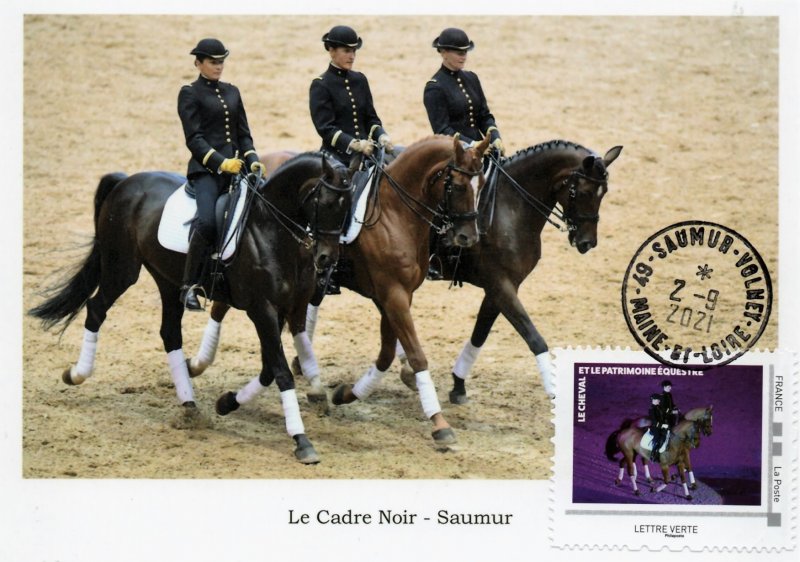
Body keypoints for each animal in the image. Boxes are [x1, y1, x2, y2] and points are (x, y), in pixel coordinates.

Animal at [28, 152, 353, 464]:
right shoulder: (262, 310)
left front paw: (227, 402)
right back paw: (76, 374)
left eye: (348, 207)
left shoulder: (292, 309)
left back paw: (189, 406)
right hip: (122, 268)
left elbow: (269, 370)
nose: (327, 259)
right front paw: (302, 441)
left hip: (168, 281)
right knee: (96, 309)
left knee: (170, 333)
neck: (270, 230)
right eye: (325, 203)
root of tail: (126, 182)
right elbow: (282, 373)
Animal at [193, 135, 490, 446]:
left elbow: (386, 353)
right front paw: (439, 423)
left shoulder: (395, 296)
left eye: (481, 183)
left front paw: (347, 394)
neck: (395, 213)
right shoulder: (392, 294)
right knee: (220, 306)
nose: (468, 237)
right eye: (458, 186)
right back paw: (198, 365)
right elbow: (416, 354)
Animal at [395, 140, 622, 402]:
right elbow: (534, 338)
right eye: (584, 192)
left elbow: (480, 334)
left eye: (604, 192)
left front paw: (458, 384)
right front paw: (553, 393)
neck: (510, 208)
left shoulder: (503, 286)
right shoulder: (499, 284)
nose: (587, 242)